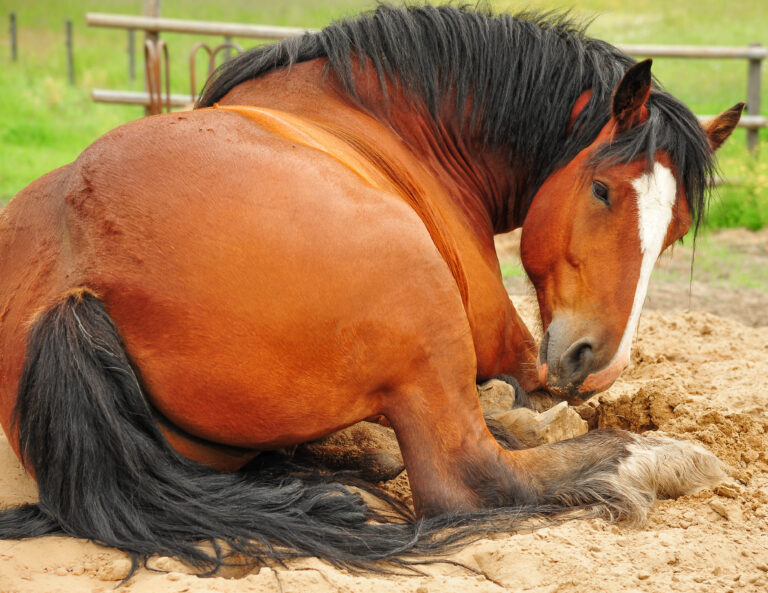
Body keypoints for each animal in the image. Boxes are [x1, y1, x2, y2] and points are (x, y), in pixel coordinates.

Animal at [0, 4, 742, 577]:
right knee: (473, 475)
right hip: (421, 293)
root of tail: (77, 279)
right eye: (602, 190)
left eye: (676, 227)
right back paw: (659, 458)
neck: (395, 120)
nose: (601, 365)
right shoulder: (507, 339)